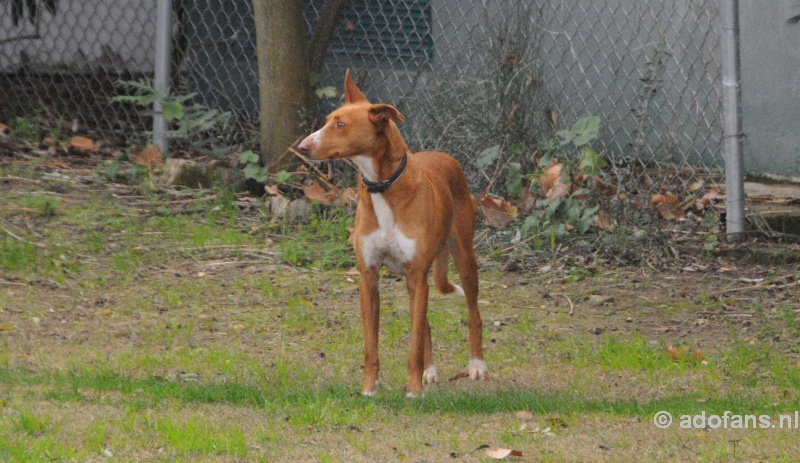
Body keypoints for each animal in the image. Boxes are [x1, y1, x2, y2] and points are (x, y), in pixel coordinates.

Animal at [298, 70, 488, 396]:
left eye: (340, 124)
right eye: (328, 120)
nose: (302, 147)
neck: (382, 187)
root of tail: (443, 155)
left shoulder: (416, 275)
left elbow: (413, 346)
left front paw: (413, 391)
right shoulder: (369, 278)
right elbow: (372, 347)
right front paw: (369, 389)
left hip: (464, 258)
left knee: (473, 313)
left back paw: (476, 366)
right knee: (424, 325)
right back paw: (429, 370)